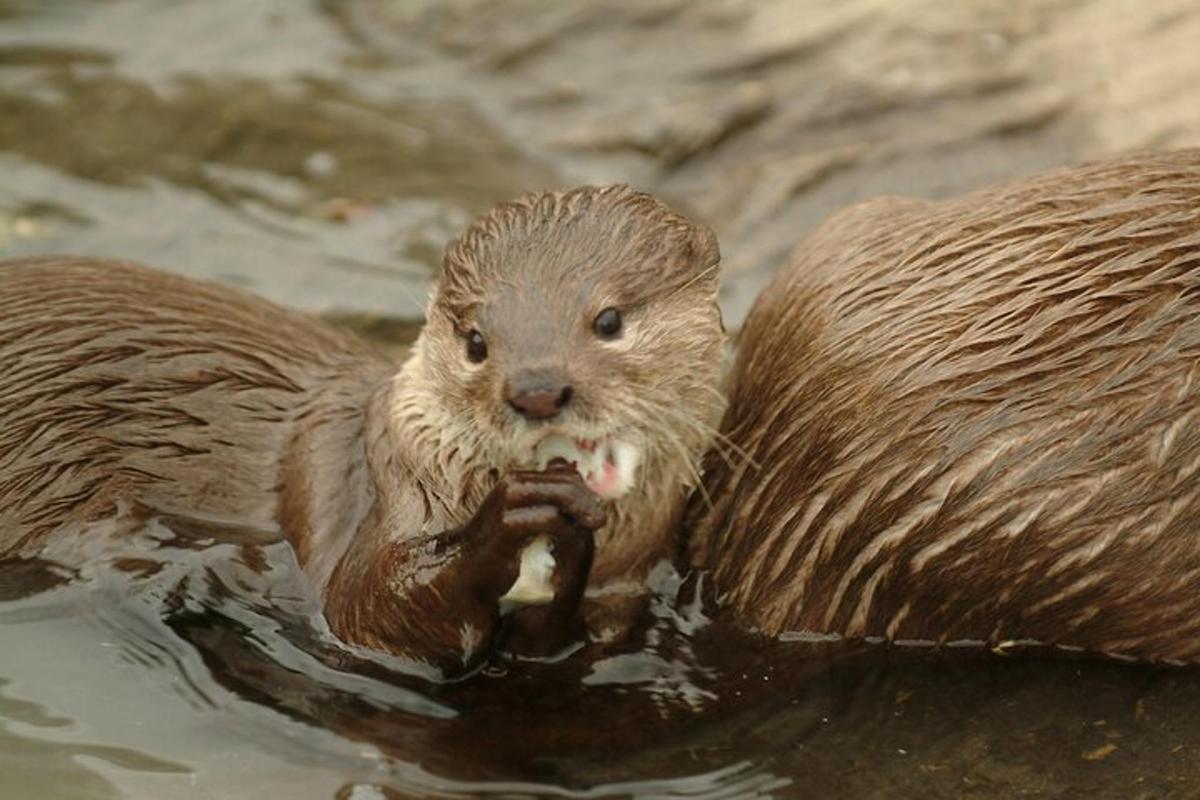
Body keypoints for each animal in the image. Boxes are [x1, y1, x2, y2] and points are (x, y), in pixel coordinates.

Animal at [0, 188, 720, 676]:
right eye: (476, 342)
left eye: (608, 320)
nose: (537, 388)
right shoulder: (369, 489)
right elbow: (366, 612)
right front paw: (511, 518)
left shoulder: (623, 590)